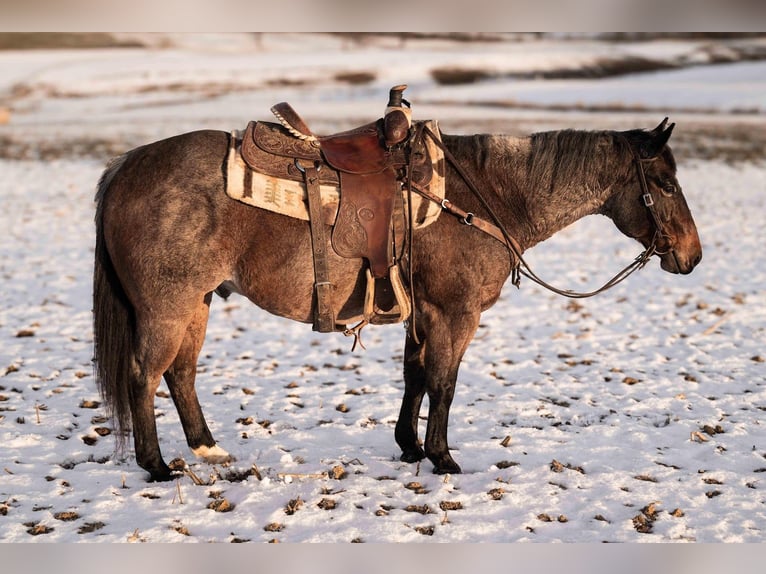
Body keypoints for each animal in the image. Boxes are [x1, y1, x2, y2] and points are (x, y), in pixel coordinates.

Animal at [93, 117, 702, 481]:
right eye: (666, 184)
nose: (692, 255)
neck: (485, 194)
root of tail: (124, 167)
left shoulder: (422, 314)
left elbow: (415, 377)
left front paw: (409, 446)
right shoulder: (456, 314)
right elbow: (444, 383)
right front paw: (443, 457)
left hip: (196, 302)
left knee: (181, 374)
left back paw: (207, 449)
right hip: (167, 308)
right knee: (145, 374)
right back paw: (157, 465)